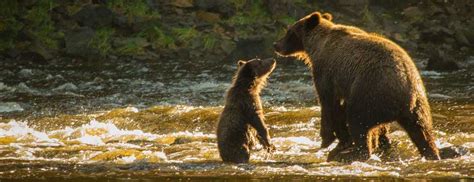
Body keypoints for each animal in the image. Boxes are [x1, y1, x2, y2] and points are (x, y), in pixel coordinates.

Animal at [274, 11, 440, 162]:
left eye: (289, 31)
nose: (276, 45)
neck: (317, 46)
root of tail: (405, 95)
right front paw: (341, 141)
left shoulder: (326, 72)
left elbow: (328, 103)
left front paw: (327, 139)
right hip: (418, 106)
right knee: (423, 132)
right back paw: (431, 154)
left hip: (370, 92)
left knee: (357, 121)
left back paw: (347, 154)